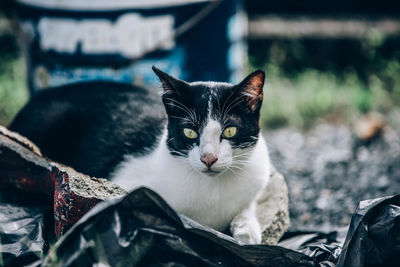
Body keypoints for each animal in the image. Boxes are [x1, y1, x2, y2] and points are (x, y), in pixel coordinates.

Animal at [10, 66, 272, 245]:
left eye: (229, 131)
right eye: (189, 131)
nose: (208, 158)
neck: (212, 190)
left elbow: (247, 203)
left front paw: (247, 229)